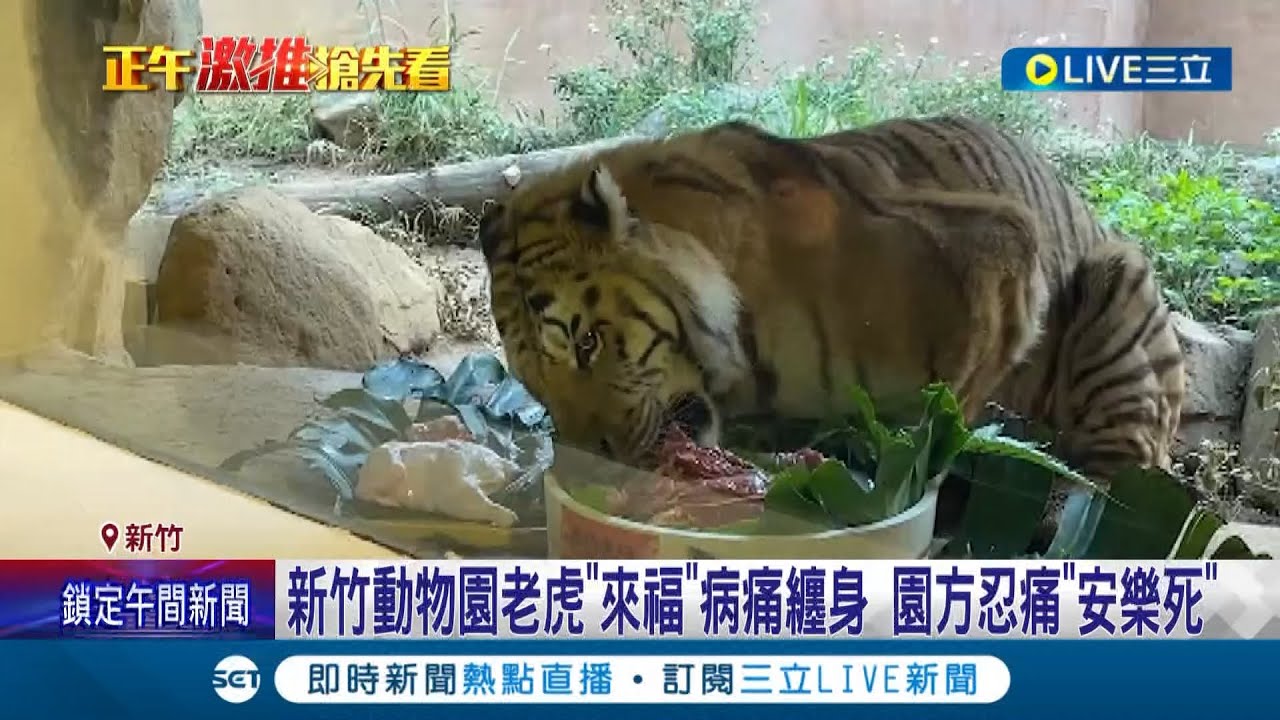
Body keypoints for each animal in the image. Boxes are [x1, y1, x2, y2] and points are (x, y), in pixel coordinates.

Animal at [478, 115, 1186, 540]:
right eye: (536, 388)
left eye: (587, 342)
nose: (590, 463)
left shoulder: (999, 249)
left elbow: (948, 410)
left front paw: (909, 468)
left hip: (1119, 290)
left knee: (1112, 480)